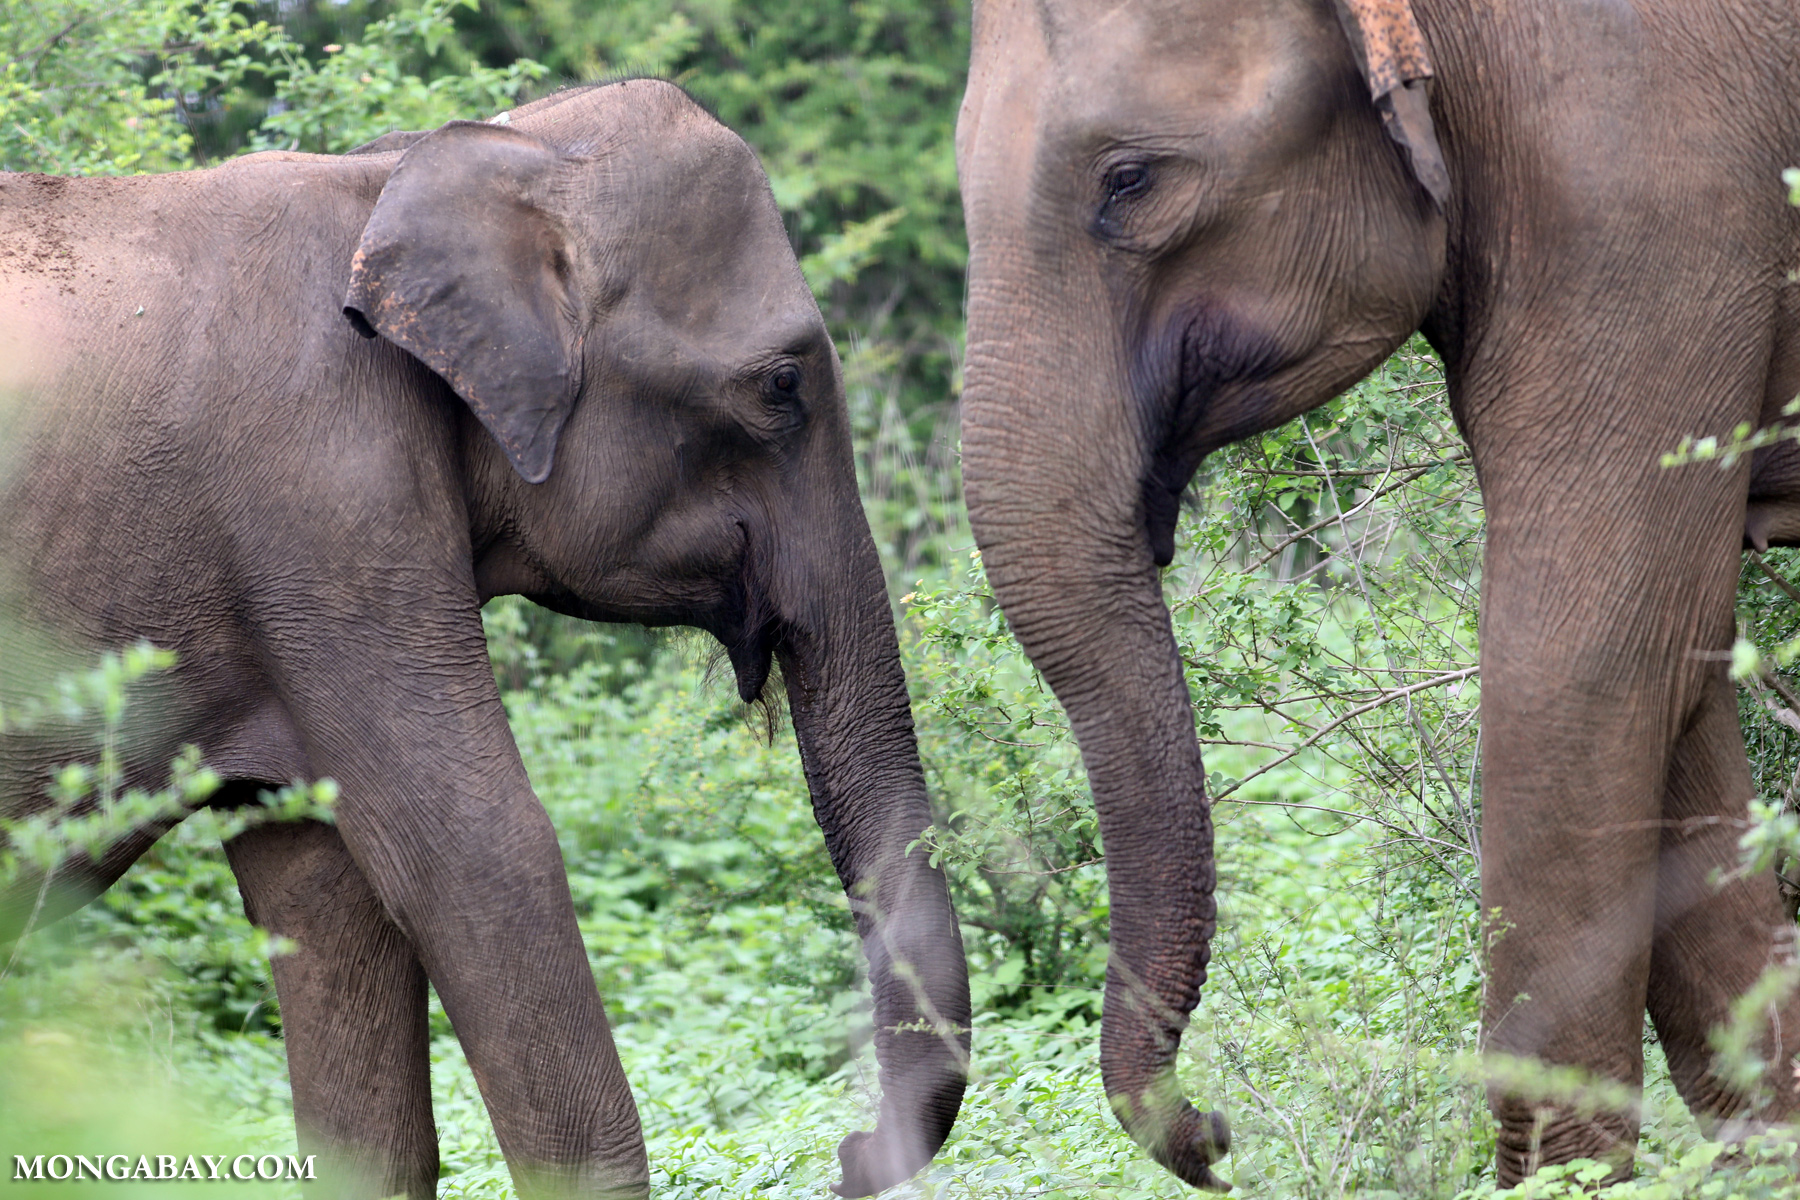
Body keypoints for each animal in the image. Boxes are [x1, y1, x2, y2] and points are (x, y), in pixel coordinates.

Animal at [0, 79, 972, 1194]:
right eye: (781, 385)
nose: (848, 1154)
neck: (403, 170)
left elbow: (326, 886)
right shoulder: (327, 500)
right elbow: (476, 851)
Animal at [964, 0, 1800, 1187]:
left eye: (1129, 181)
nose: (1219, 1134)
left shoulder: (1648, 199)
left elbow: (1580, 664)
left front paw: (1560, 1181)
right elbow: (1677, 677)